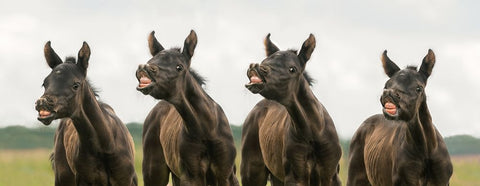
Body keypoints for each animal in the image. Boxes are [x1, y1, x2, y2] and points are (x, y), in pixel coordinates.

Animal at [136, 29, 239, 185]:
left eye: (179, 67)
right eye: (150, 61)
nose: (144, 69)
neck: (207, 130)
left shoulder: (226, 174)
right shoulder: (191, 175)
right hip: (154, 171)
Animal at [244, 33, 342, 186]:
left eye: (292, 69)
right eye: (265, 60)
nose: (255, 68)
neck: (313, 134)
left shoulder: (330, 176)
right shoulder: (296, 176)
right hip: (253, 171)